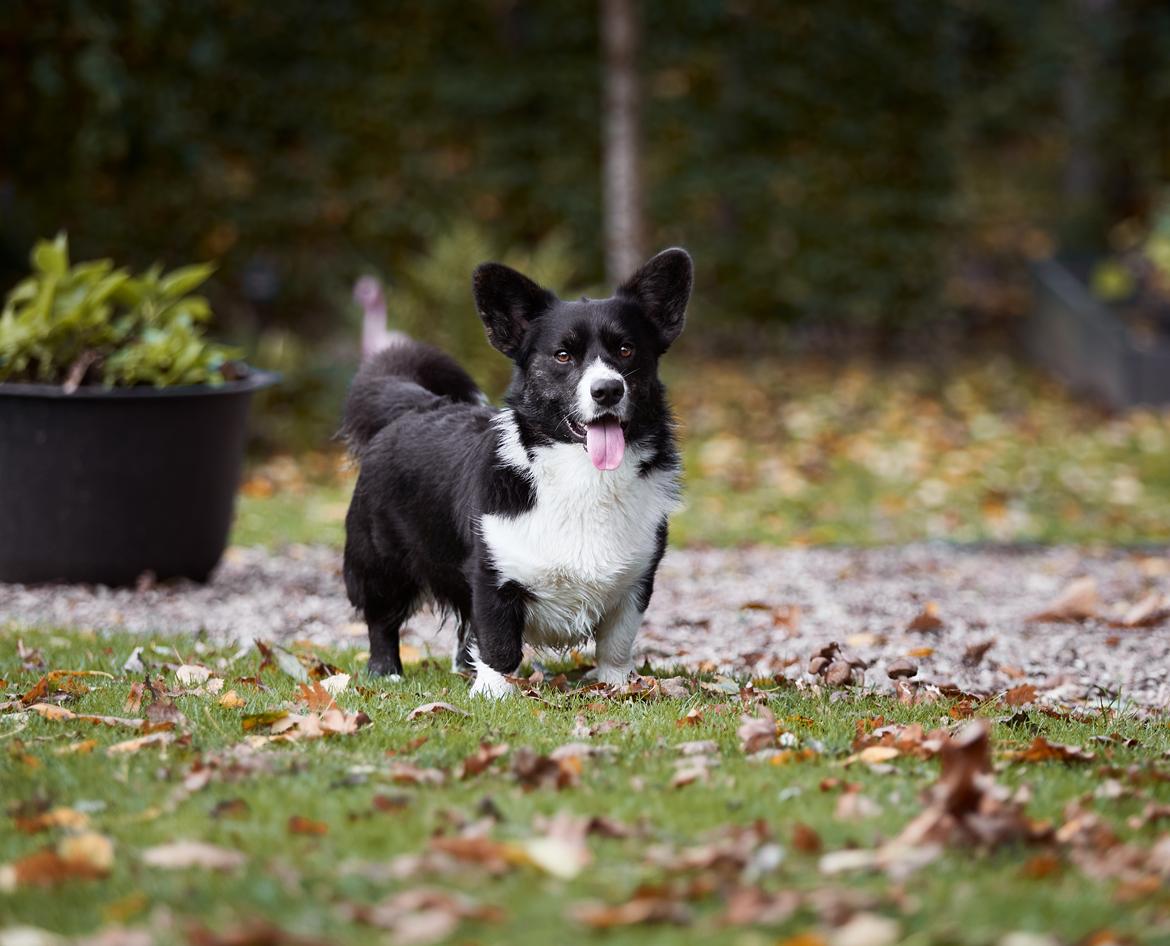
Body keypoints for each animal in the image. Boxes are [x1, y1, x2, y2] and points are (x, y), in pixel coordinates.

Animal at [339, 246, 687, 696]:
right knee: (382, 621)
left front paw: (615, 686)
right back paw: (387, 672)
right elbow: (499, 643)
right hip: (381, 564)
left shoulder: (636, 582)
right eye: (563, 355)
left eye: (626, 350)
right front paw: (493, 695)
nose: (608, 390)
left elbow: (616, 644)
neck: (584, 476)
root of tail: (416, 407)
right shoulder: (492, 576)